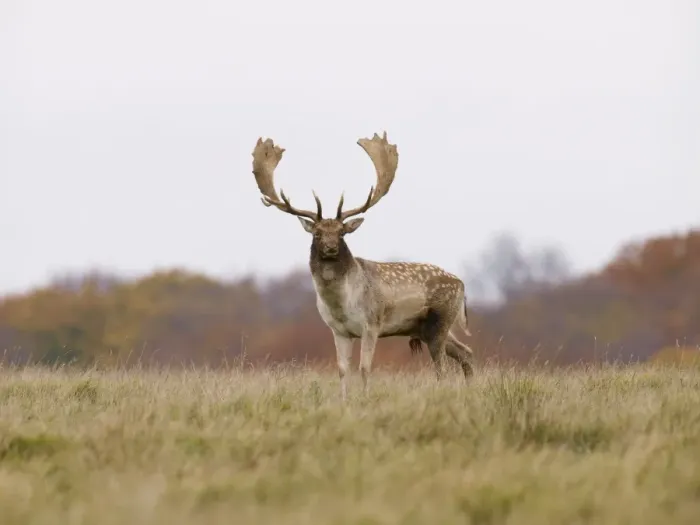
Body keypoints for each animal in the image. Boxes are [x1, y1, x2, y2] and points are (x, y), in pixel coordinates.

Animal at [250, 131, 474, 400]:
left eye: (341, 232)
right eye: (317, 233)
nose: (330, 248)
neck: (341, 305)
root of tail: (461, 284)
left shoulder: (371, 324)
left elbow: (365, 368)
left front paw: (365, 398)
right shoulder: (338, 331)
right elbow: (342, 370)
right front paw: (344, 400)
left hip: (440, 320)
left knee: (442, 365)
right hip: (426, 328)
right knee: (465, 351)